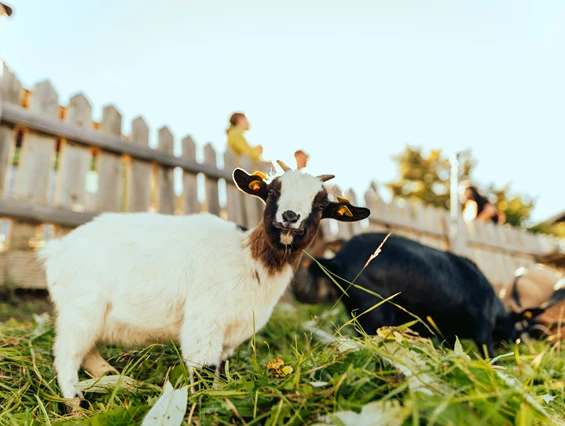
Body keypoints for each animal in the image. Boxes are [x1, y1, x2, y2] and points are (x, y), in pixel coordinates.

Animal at [37, 161, 368, 404]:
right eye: (273, 191)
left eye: (321, 204)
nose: (289, 216)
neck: (248, 260)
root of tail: (56, 251)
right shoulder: (204, 322)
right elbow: (205, 371)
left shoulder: (230, 335)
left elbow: (221, 370)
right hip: (81, 308)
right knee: (66, 355)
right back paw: (76, 401)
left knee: (88, 353)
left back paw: (121, 381)